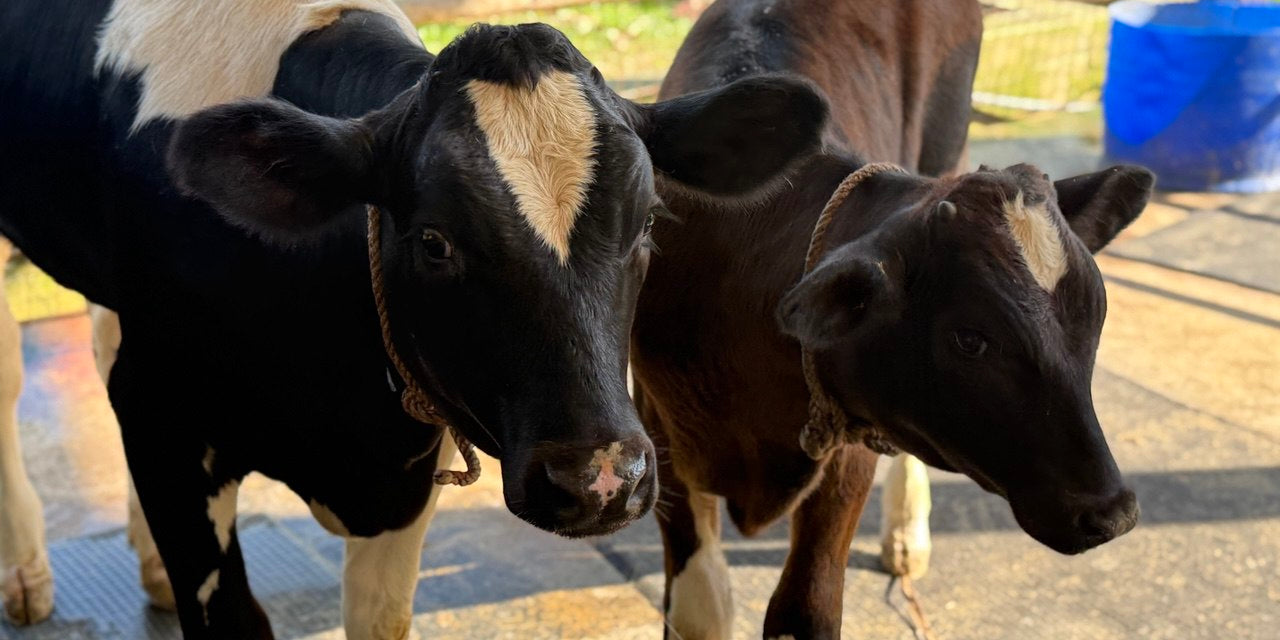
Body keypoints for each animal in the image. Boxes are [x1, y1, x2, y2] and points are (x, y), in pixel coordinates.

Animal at [0, 0, 828, 636]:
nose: (599, 480)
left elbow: (381, 617)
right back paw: (28, 576)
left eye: (649, 222)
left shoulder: (404, 471)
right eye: (434, 241)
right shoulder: (163, 419)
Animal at [629, 1, 1153, 638]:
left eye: (1096, 316)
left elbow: (806, 607)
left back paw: (906, 535)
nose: (1113, 512)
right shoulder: (659, 429)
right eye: (970, 339)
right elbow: (701, 609)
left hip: (947, 136)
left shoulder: (845, 444)